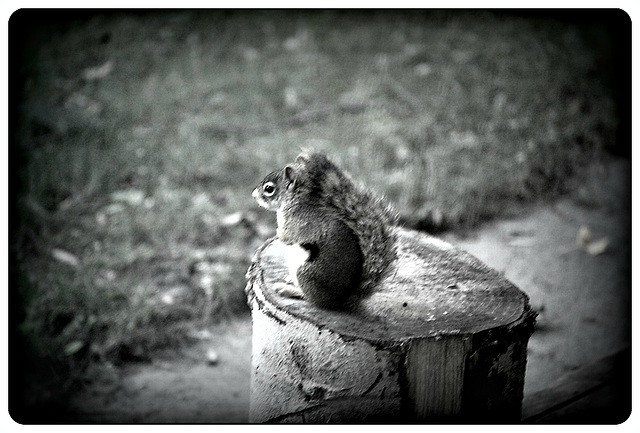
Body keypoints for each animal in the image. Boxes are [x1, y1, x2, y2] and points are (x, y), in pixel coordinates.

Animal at [252, 151, 398, 308]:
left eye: (269, 189)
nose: (253, 194)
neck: (294, 201)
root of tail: (339, 300)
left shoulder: (300, 223)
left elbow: (287, 236)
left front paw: (278, 234)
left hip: (307, 273)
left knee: (313, 299)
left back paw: (289, 289)